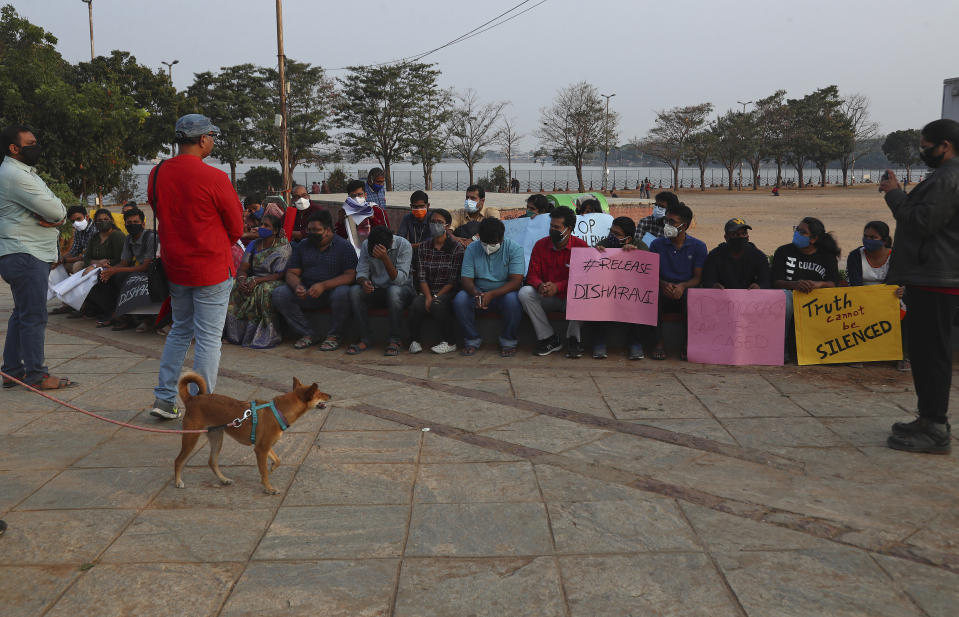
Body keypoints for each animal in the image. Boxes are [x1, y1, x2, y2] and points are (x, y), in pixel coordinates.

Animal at [174, 370, 332, 496]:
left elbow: (277, 461)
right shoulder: (261, 449)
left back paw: (224, 479)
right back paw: (177, 481)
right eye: (319, 393)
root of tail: (192, 399)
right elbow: (264, 472)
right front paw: (268, 488)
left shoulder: (265, 446)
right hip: (191, 437)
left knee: (212, 461)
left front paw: (271, 468)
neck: (279, 410)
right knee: (178, 460)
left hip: (217, 437)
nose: (330, 395)